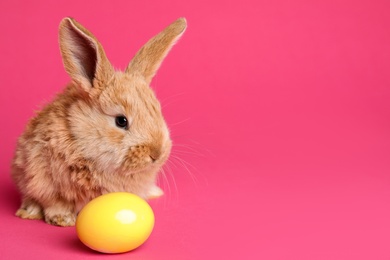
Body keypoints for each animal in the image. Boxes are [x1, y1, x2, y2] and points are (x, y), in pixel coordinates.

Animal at [9, 17, 186, 226]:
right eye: (121, 121)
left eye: (157, 111)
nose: (156, 154)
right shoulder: (43, 178)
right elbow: (55, 203)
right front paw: (62, 220)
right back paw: (29, 212)